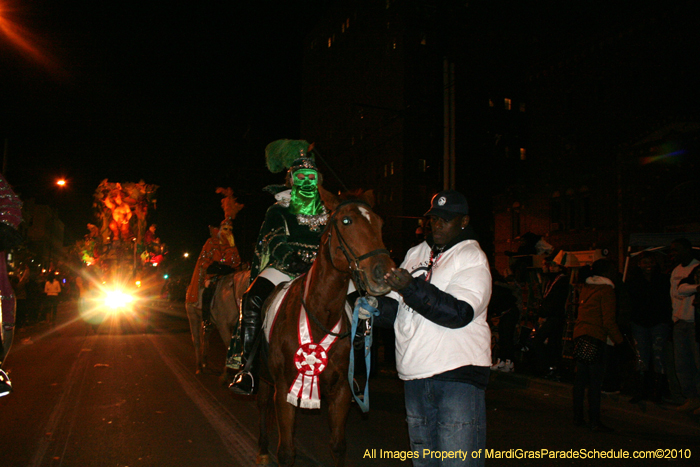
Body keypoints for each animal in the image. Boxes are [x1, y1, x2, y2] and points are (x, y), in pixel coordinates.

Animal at [254, 190, 394, 467]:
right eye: (346, 221)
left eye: (380, 223)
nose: (384, 273)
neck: (321, 316)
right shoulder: (283, 389)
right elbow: (286, 452)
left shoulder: (341, 393)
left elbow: (338, 447)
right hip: (264, 378)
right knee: (263, 405)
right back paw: (263, 449)